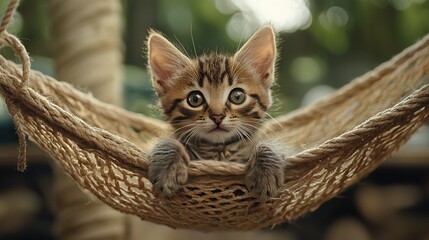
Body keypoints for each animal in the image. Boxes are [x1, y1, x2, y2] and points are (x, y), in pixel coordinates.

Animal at [147, 25, 284, 200]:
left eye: (237, 96)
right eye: (195, 99)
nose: (217, 116)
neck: (218, 153)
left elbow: (271, 145)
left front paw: (266, 172)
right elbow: (165, 142)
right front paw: (167, 167)